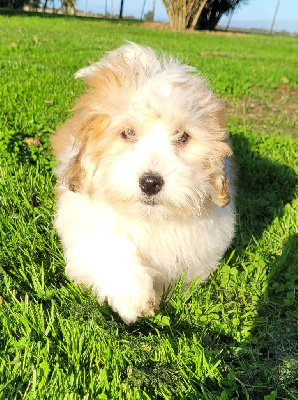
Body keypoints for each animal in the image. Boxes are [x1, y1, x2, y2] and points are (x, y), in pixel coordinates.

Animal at [52, 43, 236, 324]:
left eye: (182, 136)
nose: (150, 182)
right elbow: (108, 247)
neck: (151, 219)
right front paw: (133, 296)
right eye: (128, 133)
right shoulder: (84, 222)